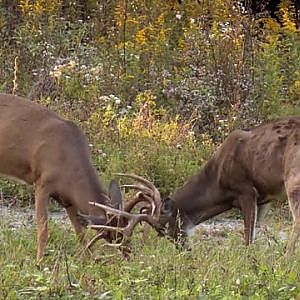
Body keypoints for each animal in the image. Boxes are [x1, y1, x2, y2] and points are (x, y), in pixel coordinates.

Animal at [0, 94, 163, 262]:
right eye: (115, 236)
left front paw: (89, 259)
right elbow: (43, 229)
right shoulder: (42, 183)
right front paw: (39, 262)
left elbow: (80, 232)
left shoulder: (67, 198)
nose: (128, 255)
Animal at [119, 117, 300, 255]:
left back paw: (285, 259)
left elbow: (248, 237)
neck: (217, 181)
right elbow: (254, 232)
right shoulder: (264, 199)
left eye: (163, 229)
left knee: (297, 219)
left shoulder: (246, 190)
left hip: (293, 178)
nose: (184, 251)